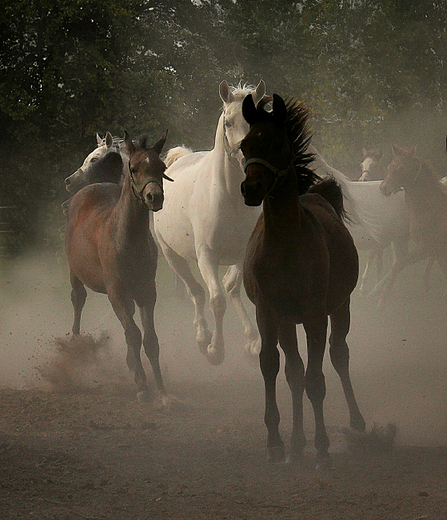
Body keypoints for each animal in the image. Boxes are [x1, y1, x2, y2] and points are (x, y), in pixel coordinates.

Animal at [65, 130, 172, 402]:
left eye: (162, 167)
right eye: (133, 168)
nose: (154, 197)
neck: (125, 237)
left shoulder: (147, 293)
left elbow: (150, 339)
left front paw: (162, 391)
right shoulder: (116, 293)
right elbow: (133, 335)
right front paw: (143, 387)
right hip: (74, 272)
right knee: (78, 300)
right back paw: (76, 344)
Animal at [154, 81, 266, 366]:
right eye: (228, 122)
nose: (248, 162)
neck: (230, 199)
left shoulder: (245, 254)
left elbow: (237, 289)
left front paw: (254, 343)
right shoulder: (207, 257)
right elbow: (216, 300)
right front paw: (216, 349)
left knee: (229, 288)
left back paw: (249, 339)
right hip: (172, 255)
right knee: (196, 292)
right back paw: (203, 337)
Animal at [240, 93, 366, 468]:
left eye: (279, 144)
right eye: (244, 145)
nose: (250, 189)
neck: (284, 246)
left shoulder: (314, 315)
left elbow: (316, 379)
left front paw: (322, 445)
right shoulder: (268, 312)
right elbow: (274, 367)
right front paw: (277, 442)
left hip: (339, 308)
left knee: (339, 355)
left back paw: (356, 423)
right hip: (287, 321)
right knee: (294, 372)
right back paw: (297, 443)